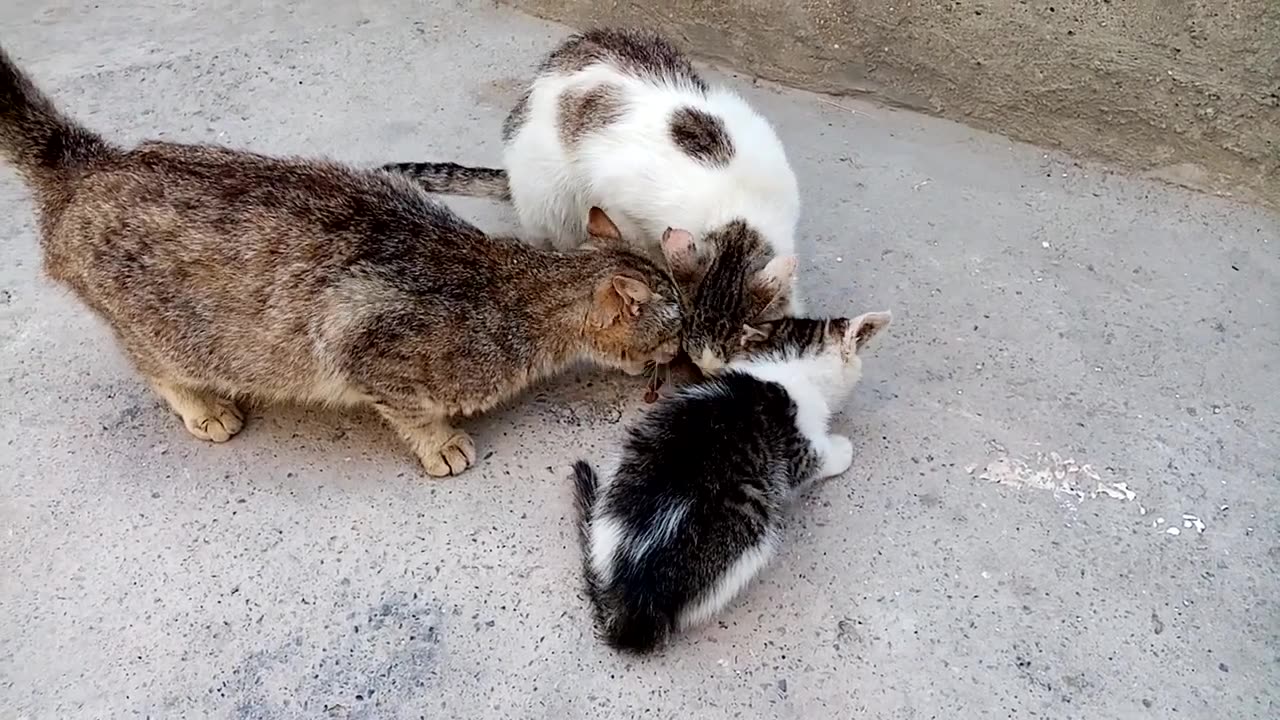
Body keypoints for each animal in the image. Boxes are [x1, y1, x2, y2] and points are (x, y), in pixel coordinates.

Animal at [0, 43, 686, 471]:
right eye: (674, 330)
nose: (680, 358)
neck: (515, 291)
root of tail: (95, 163)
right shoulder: (371, 354)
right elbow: (411, 412)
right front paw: (440, 444)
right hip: (164, 336)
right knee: (158, 370)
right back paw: (205, 407)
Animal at [378, 28, 798, 368]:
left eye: (741, 338)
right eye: (691, 324)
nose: (705, 365)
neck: (738, 210)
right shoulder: (621, 200)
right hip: (548, 195)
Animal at [570, 310, 890, 650]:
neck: (790, 367)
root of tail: (629, 597)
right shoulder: (798, 450)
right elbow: (819, 460)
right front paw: (843, 449)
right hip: (751, 531)